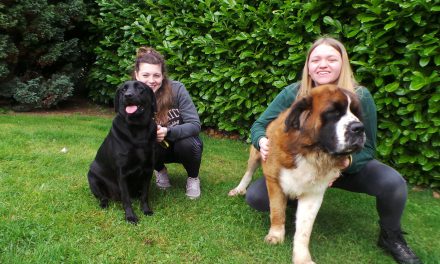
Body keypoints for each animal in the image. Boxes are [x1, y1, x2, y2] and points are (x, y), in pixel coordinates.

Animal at [87, 80, 156, 223]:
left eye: (140, 88)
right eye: (123, 90)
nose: (128, 95)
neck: (138, 129)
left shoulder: (148, 170)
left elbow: (145, 195)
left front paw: (146, 210)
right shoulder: (122, 173)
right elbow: (126, 198)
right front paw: (130, 216)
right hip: (92, 179)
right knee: (103, 196)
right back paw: (104, 203)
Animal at [229, 84, 366, 262]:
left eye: (356, 113)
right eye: (333, 112)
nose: (360, 128)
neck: (310, 152)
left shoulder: (313, 194)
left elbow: (304, 229)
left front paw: (302, 257)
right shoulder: (275, 182)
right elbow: (277, 211)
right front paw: (276, 235)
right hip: (256, 153)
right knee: (248, 173)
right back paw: (239, 189)